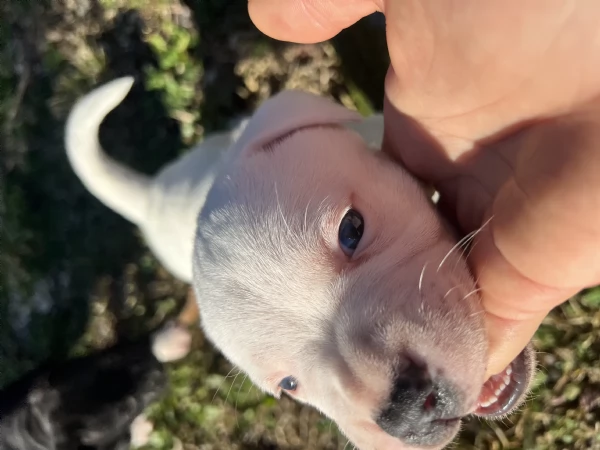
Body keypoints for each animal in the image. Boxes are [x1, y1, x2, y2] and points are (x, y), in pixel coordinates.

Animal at [0, 322, 191, 448]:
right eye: (125, 409)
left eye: (111, 361)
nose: (158, 373)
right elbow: (120, 443)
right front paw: (140, 431)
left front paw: (167, 342)